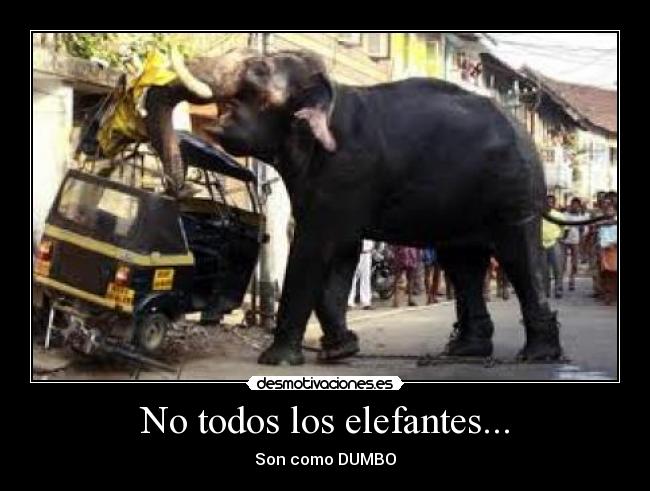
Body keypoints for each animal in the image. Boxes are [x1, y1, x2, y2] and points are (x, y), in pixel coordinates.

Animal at [144, 47, 607, 365]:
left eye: (257, 73)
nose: (175, 184)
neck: (330, 92)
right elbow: (342, 254)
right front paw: (341, 352)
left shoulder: (347, 170)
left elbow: (315, 248)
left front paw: (276, 360)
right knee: (463, 262)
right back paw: (465, 351)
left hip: (513, 191)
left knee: (518, 257)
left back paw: (536, 356)